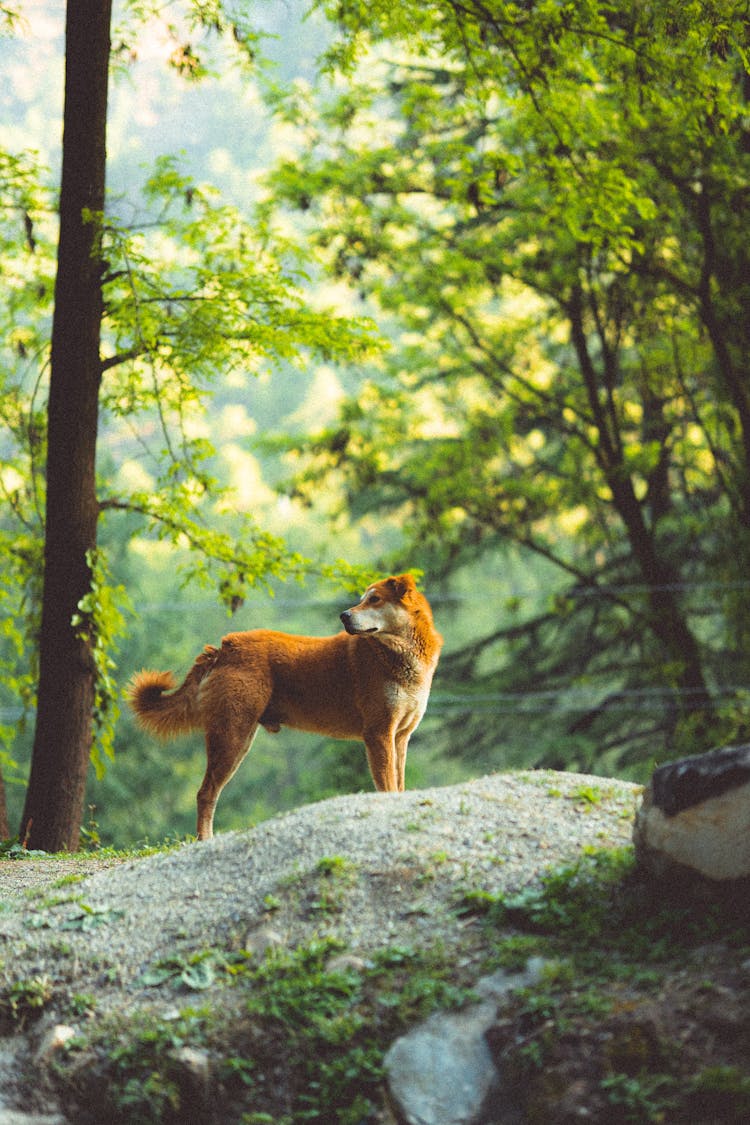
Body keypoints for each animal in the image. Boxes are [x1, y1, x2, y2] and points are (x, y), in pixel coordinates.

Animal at [127, 576, 443, 841]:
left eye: (375, 599)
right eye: (364, 599)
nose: (344, 615)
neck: (397, 654)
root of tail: (225, 646)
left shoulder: (400, 737)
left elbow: (398, 784)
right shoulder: (378, 734)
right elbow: (388, 785)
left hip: (237, 739)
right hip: (231, 737)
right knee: (205, 794)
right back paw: (205, 840)